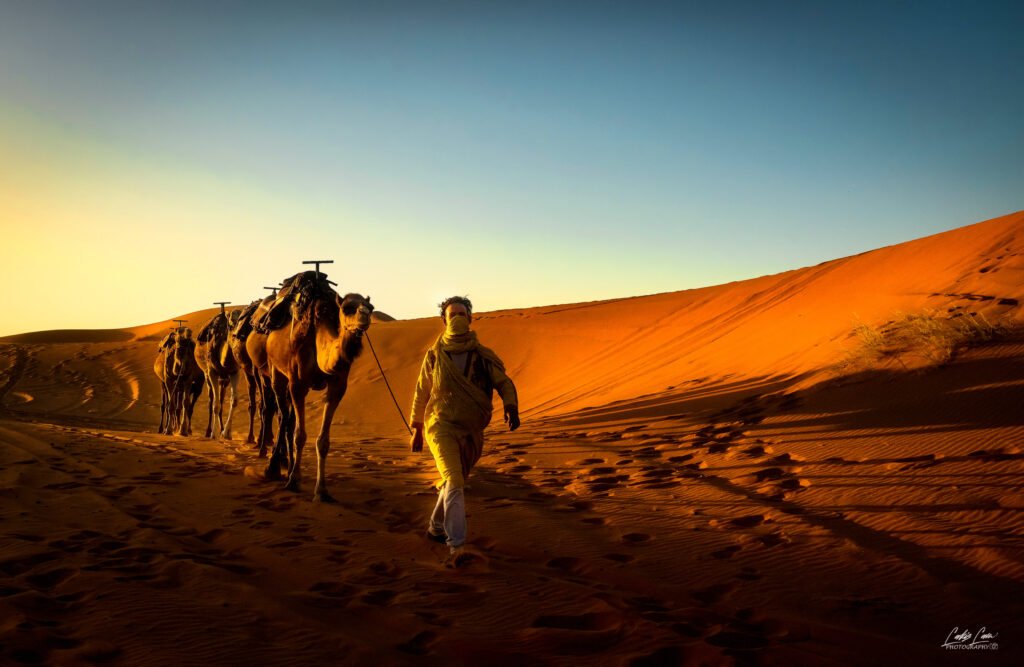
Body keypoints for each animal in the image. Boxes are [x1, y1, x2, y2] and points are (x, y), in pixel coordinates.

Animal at [193, 311, 239, 440]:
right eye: (230, 323)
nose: (237, 333)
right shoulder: (212, 372)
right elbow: (215, 405)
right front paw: (213, 434)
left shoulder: (234, 372)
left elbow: (234, 401)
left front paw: (227, 433)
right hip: (206, 375)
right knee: (211, 400)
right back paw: (208, 432)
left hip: (223, 381)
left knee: (221, 401)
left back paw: (221, 429)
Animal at [262, 272, 374, 499]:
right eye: (347, 307)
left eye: (371, 306)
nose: (365, 315)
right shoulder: (298, 384)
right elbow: (299, 435)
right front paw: (293, 481)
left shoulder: (338, 386)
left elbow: (323, 441)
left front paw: (321, 490)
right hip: (275, 371)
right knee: (283, 416)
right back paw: (274, 468)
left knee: (288, 418)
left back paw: (288, 466)